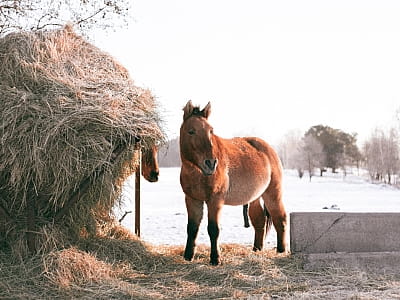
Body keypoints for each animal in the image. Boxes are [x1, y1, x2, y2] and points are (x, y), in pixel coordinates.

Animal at [179, 101, 288, 264]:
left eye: (211, 131)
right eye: (191, 131)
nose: (211, 163)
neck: (198, 173)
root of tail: (269, 149)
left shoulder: (215, 200)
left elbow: (213, 229)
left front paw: (215, 259)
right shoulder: (192, 199)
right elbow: (192, 228)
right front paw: (188, 256)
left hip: (273, 193)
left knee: (280, 219)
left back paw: (281, 250)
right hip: (255, 197)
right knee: (259, 221)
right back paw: (257, 249)